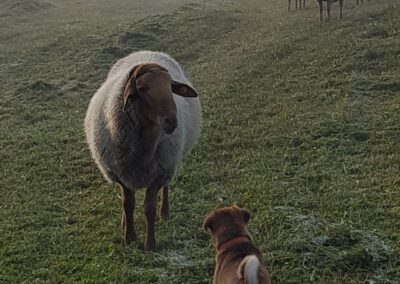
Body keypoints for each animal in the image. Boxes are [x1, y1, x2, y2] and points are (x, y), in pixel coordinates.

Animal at [85, 51, 203, 251]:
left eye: (170, 87)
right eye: (142, 89)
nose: (172, 121)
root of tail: (145, 53)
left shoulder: (159, 173)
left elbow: (149, 208)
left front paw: (150, 244)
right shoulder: (122, 174)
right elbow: (128, 204)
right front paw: (129, 237)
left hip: (169, 165)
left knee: (166, 187)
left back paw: (164, 212)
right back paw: (124, 222)